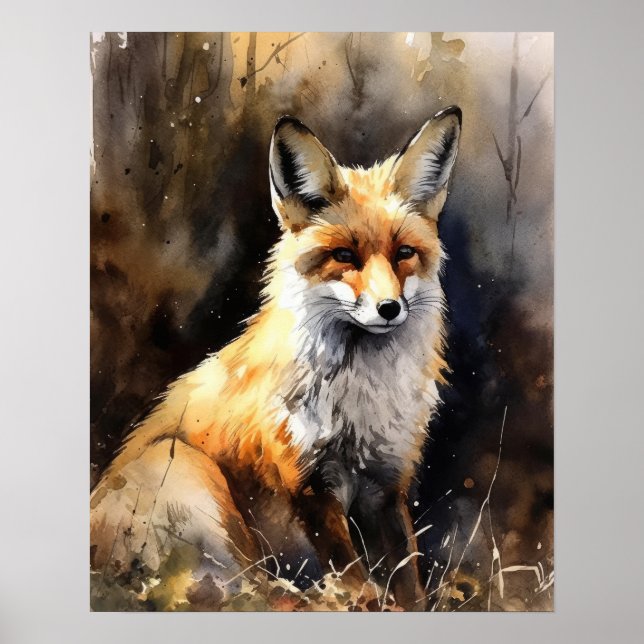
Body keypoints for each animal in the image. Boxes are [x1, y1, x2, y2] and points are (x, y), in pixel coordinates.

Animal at [90, 106, 462, 610]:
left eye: (404, 253)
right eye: (344, 255)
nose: (389, 308)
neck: (358, 398)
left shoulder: (386, 485)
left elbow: (409, 585)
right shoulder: (306, 483)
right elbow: (354, 579)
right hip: (193, 475)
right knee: (248, 590)